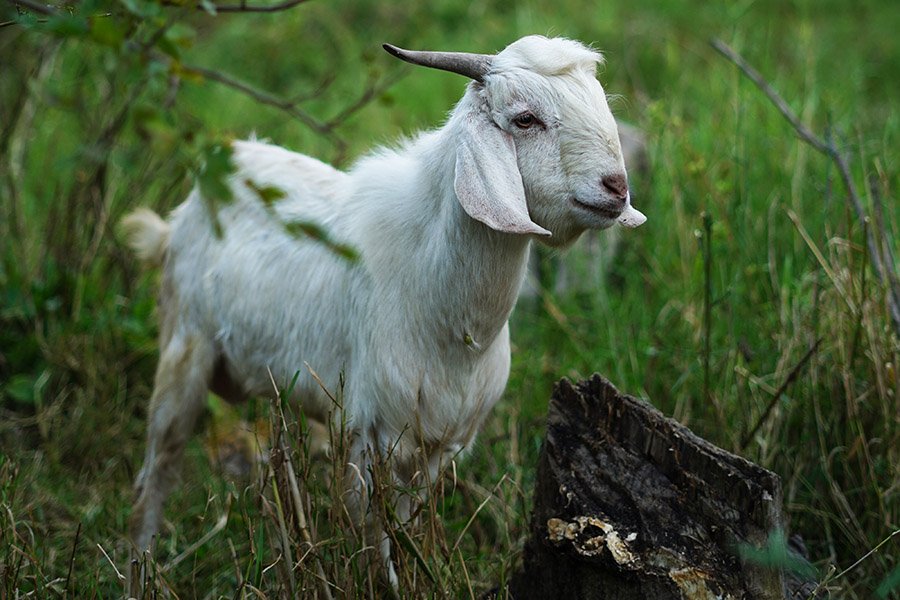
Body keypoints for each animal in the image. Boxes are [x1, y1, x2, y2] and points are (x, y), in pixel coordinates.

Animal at [123, 35, 646, 586]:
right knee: (154, 477)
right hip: (183, 351)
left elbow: (408, 526)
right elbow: (374, 540)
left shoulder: (439, 443)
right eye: (525, 119)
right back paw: (141, 571)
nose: (616, 187)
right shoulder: (366, 432)